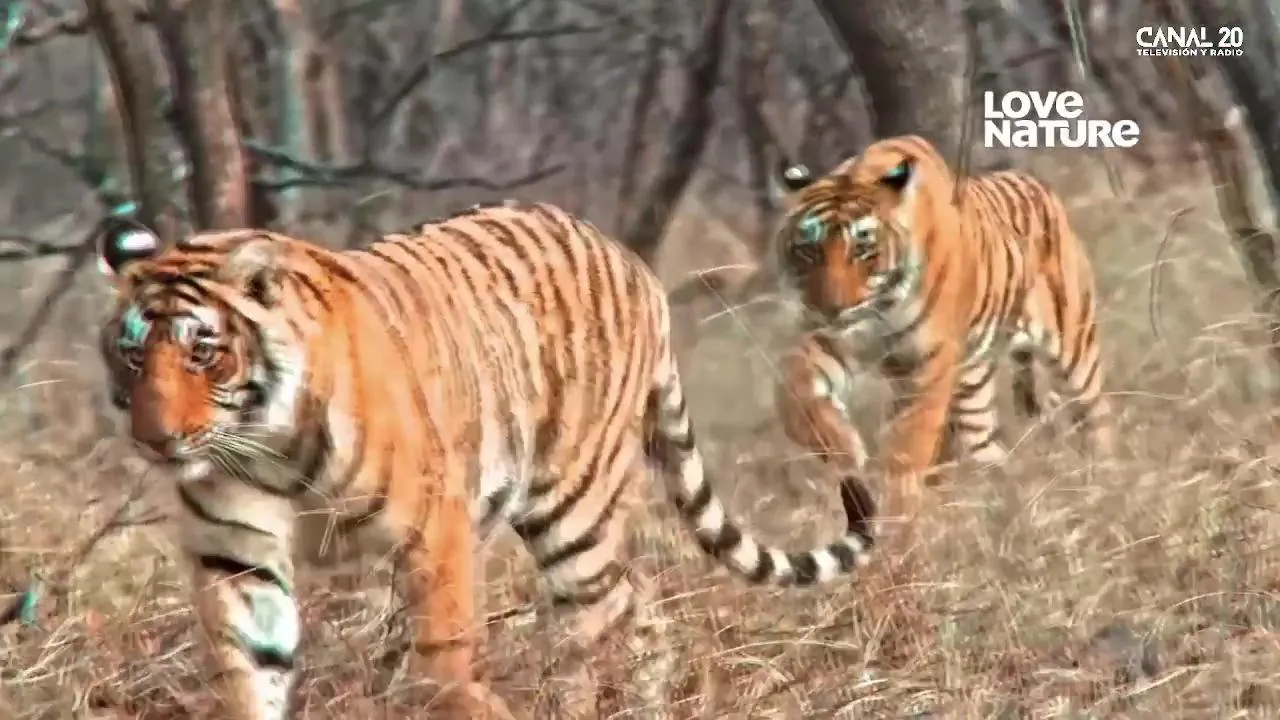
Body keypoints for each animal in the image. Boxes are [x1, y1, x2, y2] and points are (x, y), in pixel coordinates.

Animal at [93, 202, 876, 720]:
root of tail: (631, 260)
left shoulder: (432, 526)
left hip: (575, 512)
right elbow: (247, 670)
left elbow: (441, 654)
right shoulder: (235, 555)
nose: (154, 439)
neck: (266, 446)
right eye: (133, 354)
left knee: (596, 624)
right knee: (639, 609)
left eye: (203, 352)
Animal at [768, 134, 1113, 541]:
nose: (832, 308)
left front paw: (898, 515)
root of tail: (1039, 185)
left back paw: (1106, 482)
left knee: (1096, 416)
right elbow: (795, 395)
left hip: (1074, 347)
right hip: (973, 389)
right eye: (809, 250)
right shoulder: (830, 340)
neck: (879, 305)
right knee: (991, 453)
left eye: (863, 250)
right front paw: (842, 448)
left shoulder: (928, 362)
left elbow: (908, 444)